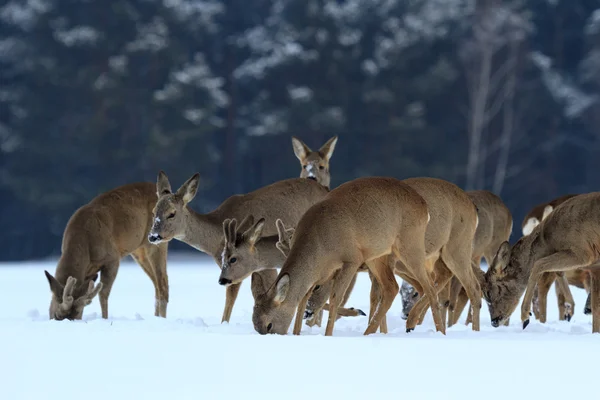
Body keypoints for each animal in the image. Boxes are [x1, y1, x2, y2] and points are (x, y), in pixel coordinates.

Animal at [44, 183, 169, 320]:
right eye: (54, 315)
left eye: (77, 314)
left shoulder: (112, 258)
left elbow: (103, 294)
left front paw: (104, 319)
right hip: (138, 251)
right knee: (156, 284)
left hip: (156, 244)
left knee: (163, 283)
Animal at [480, 191, 600, 332]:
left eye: (488, 293)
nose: (494, 321)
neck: (548, 241)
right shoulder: (594, 265)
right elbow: (596, 306)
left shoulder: (582, 251)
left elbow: (537, 264)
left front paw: (525, 317)